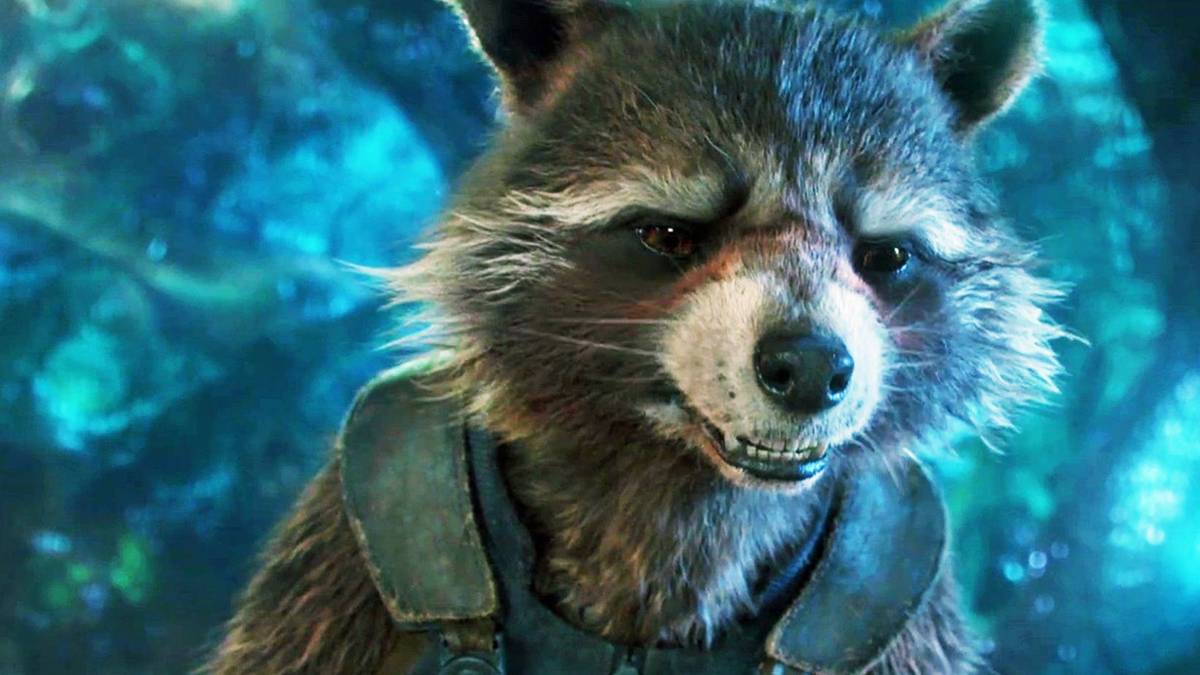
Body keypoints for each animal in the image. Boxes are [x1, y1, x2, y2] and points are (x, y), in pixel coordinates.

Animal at [207, 0, 1064, 673]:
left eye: (884, 256)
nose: (813, 365)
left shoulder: (899, 606)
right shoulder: (345, 548)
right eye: (668, 235)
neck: (684, 478)